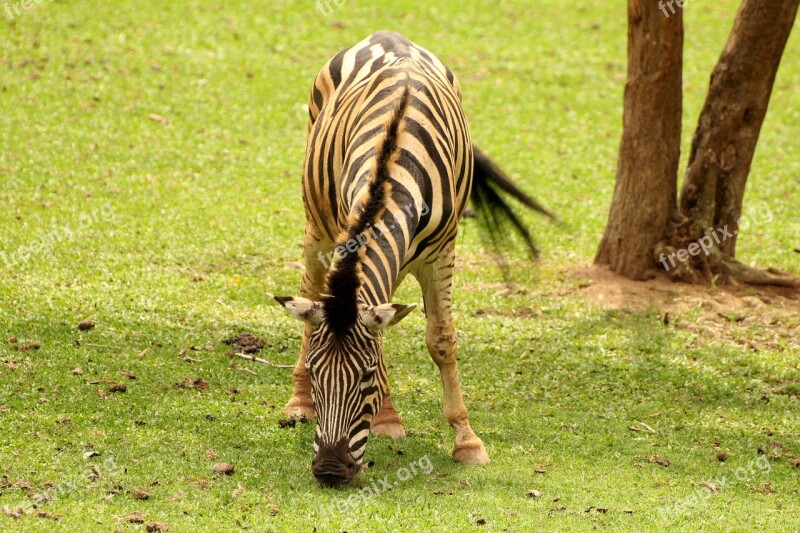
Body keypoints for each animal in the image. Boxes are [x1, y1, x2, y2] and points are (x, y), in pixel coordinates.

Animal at [274, 30, 552, 486]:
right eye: (317, 374)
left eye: (367, 375)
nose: (330, 471)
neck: (391, 170)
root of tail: (385, 34)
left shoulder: (441, 254)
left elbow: (441, 340)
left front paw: (466, 440)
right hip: (317, 223)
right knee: (310, 289)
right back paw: (307, 404)